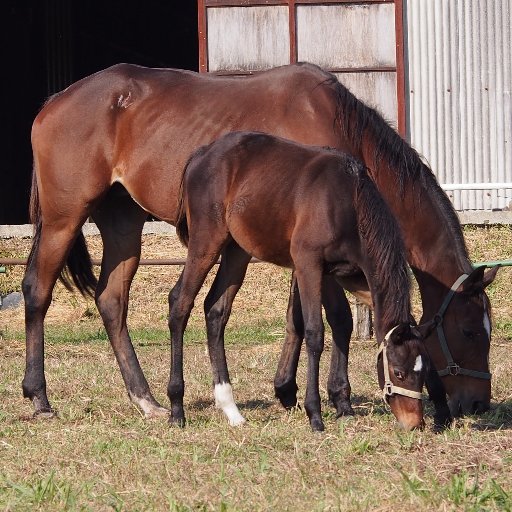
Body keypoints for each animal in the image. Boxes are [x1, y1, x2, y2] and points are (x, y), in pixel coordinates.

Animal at [172, 133, 428, 432]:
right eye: (398, 372)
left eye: (422, 372)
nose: (415, 423)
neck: (348, 201)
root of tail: (200, 155)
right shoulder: (308, 265)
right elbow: (315, 333)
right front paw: (314, 414)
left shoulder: (340, 274)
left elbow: (342, 321)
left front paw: (342, 406)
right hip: (206, 242)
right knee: (180, 303)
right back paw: (176, 408)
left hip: (237, 250)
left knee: (216, 310)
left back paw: (231, 409)